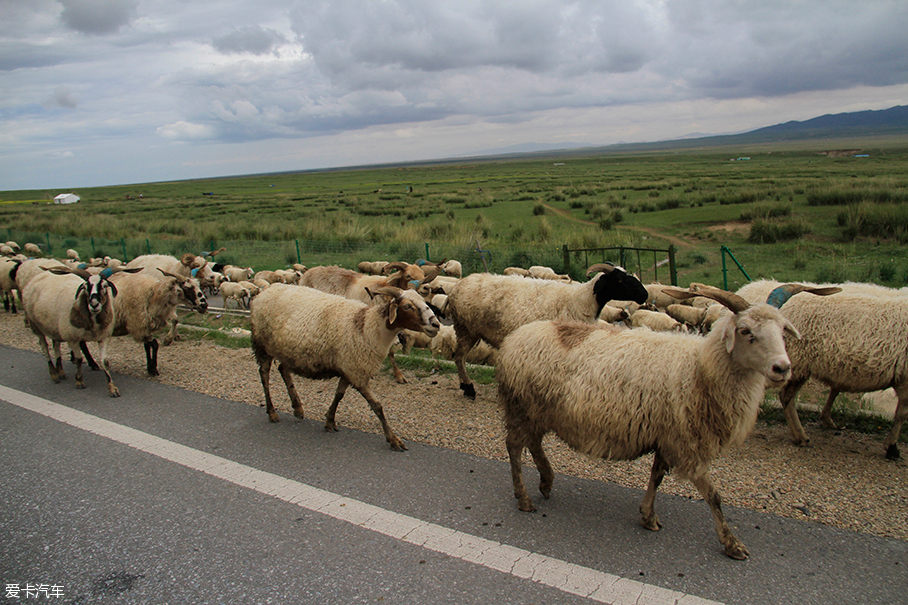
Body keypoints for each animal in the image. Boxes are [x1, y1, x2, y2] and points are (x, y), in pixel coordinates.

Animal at [22, 266, 125, 394]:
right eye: (85, 287)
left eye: (104, 286)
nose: (94, 304)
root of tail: (39, 276)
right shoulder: (72, 337)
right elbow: (79, 359)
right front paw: (79, 380)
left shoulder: (103, 337)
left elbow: (105, 361)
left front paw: (112, 387)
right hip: (35, 324)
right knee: (44, 346)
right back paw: (54, 373)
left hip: (55, 327)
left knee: (56, 344)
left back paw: (60, 371)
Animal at [250, 284, 442, 448]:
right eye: (407, 306)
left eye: (424, 302)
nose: (436, 324)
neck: (367, 326)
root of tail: (265, 291)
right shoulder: (357, 371)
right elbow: (377, 406)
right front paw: (393, 439)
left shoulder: (349, 368)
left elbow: (339, 395)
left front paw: (329, 421)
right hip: (262, 345)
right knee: (264, 375)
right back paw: (272, 412)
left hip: (287, 351)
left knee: (283, 370)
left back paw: (297, 408)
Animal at [446, 260, 644, 396]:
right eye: (619, 279)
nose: (644, 294)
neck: (581, 300)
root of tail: (456, 288)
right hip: (466, 328)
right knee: (459, 357)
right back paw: (469, 388)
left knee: (459, 356)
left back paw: (464, 385)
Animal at [496, 286, 800, 560]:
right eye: (745, 331)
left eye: (783, 331)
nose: (782, 368)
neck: (701, 368)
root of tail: (515, 338)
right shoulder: (686, 443)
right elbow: (713, 495)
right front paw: (732, 544)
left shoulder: (666, 434)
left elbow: (657, 476)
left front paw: (648, 516)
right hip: (522, 405)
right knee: (515, 446)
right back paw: (524, 498)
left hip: (538, 410)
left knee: (534, 443)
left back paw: (546, 482)